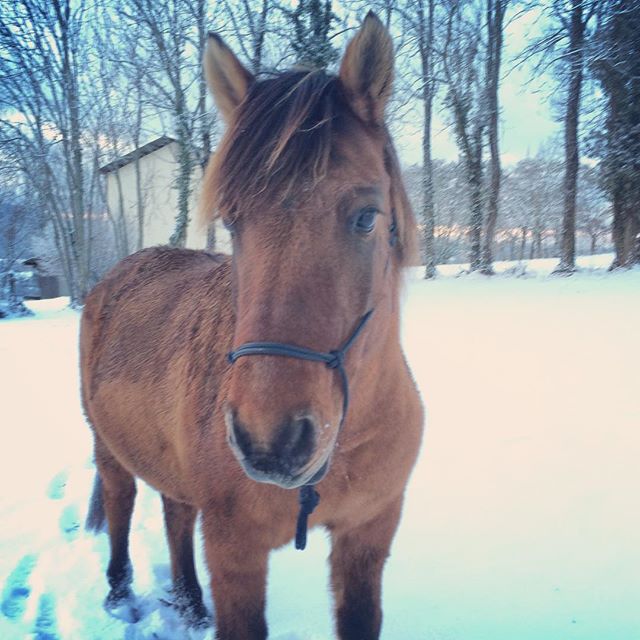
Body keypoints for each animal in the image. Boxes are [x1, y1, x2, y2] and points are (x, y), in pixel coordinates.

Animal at [81, 11, 424, 640]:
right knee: (120, 505)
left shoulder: (368, 538)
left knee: (174, 511)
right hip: (108, 450)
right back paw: (119, 593)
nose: (271, 441)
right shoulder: (235, 549)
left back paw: (191, 602)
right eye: (233, 221)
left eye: (367, 217)